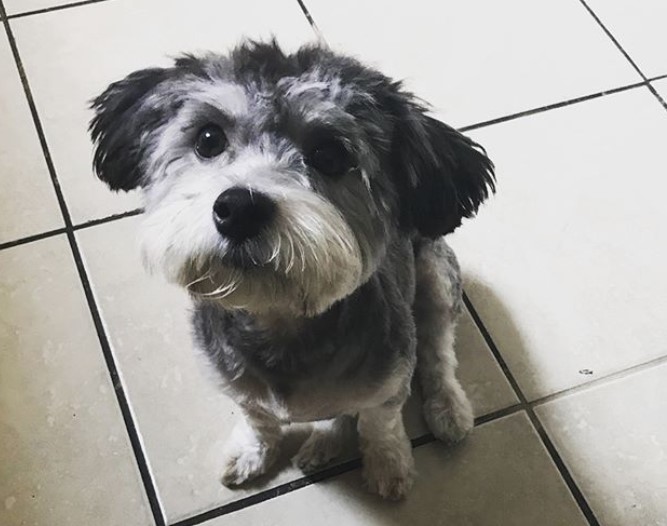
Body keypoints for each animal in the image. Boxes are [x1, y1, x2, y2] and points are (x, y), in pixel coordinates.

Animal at [88, 39, 496, 502]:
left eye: (330, 155)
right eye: (208, 138)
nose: (239, 208)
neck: (279, 322)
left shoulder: (389, 382)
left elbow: (381, 424)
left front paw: (388, 463)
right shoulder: (235, 385)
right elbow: (257, 419)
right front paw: (253, 452)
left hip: (436, 276)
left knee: (437, 349)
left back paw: (446, 408)